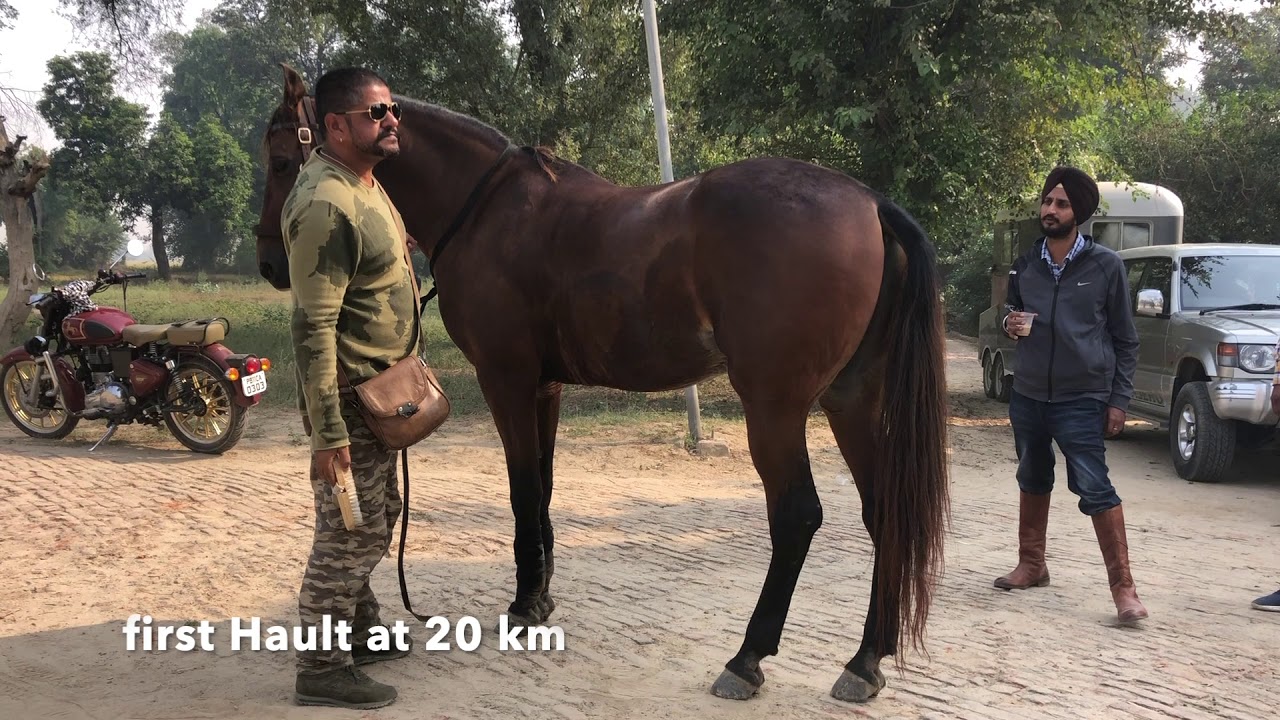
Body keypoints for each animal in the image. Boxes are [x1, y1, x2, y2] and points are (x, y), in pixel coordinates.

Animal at [255, 64, 950, 703]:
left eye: (283, 158)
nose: (269, 263)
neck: (487, 210)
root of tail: (868, 202)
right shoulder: (546, 388)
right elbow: (543, 488)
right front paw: (541, 595)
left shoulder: (506, 379)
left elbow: (522, 490)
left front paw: (524, 607)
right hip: (851, 401)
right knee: (882, 511)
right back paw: (865, 661)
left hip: (775, 407)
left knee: (797, 515)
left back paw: (747, 658)